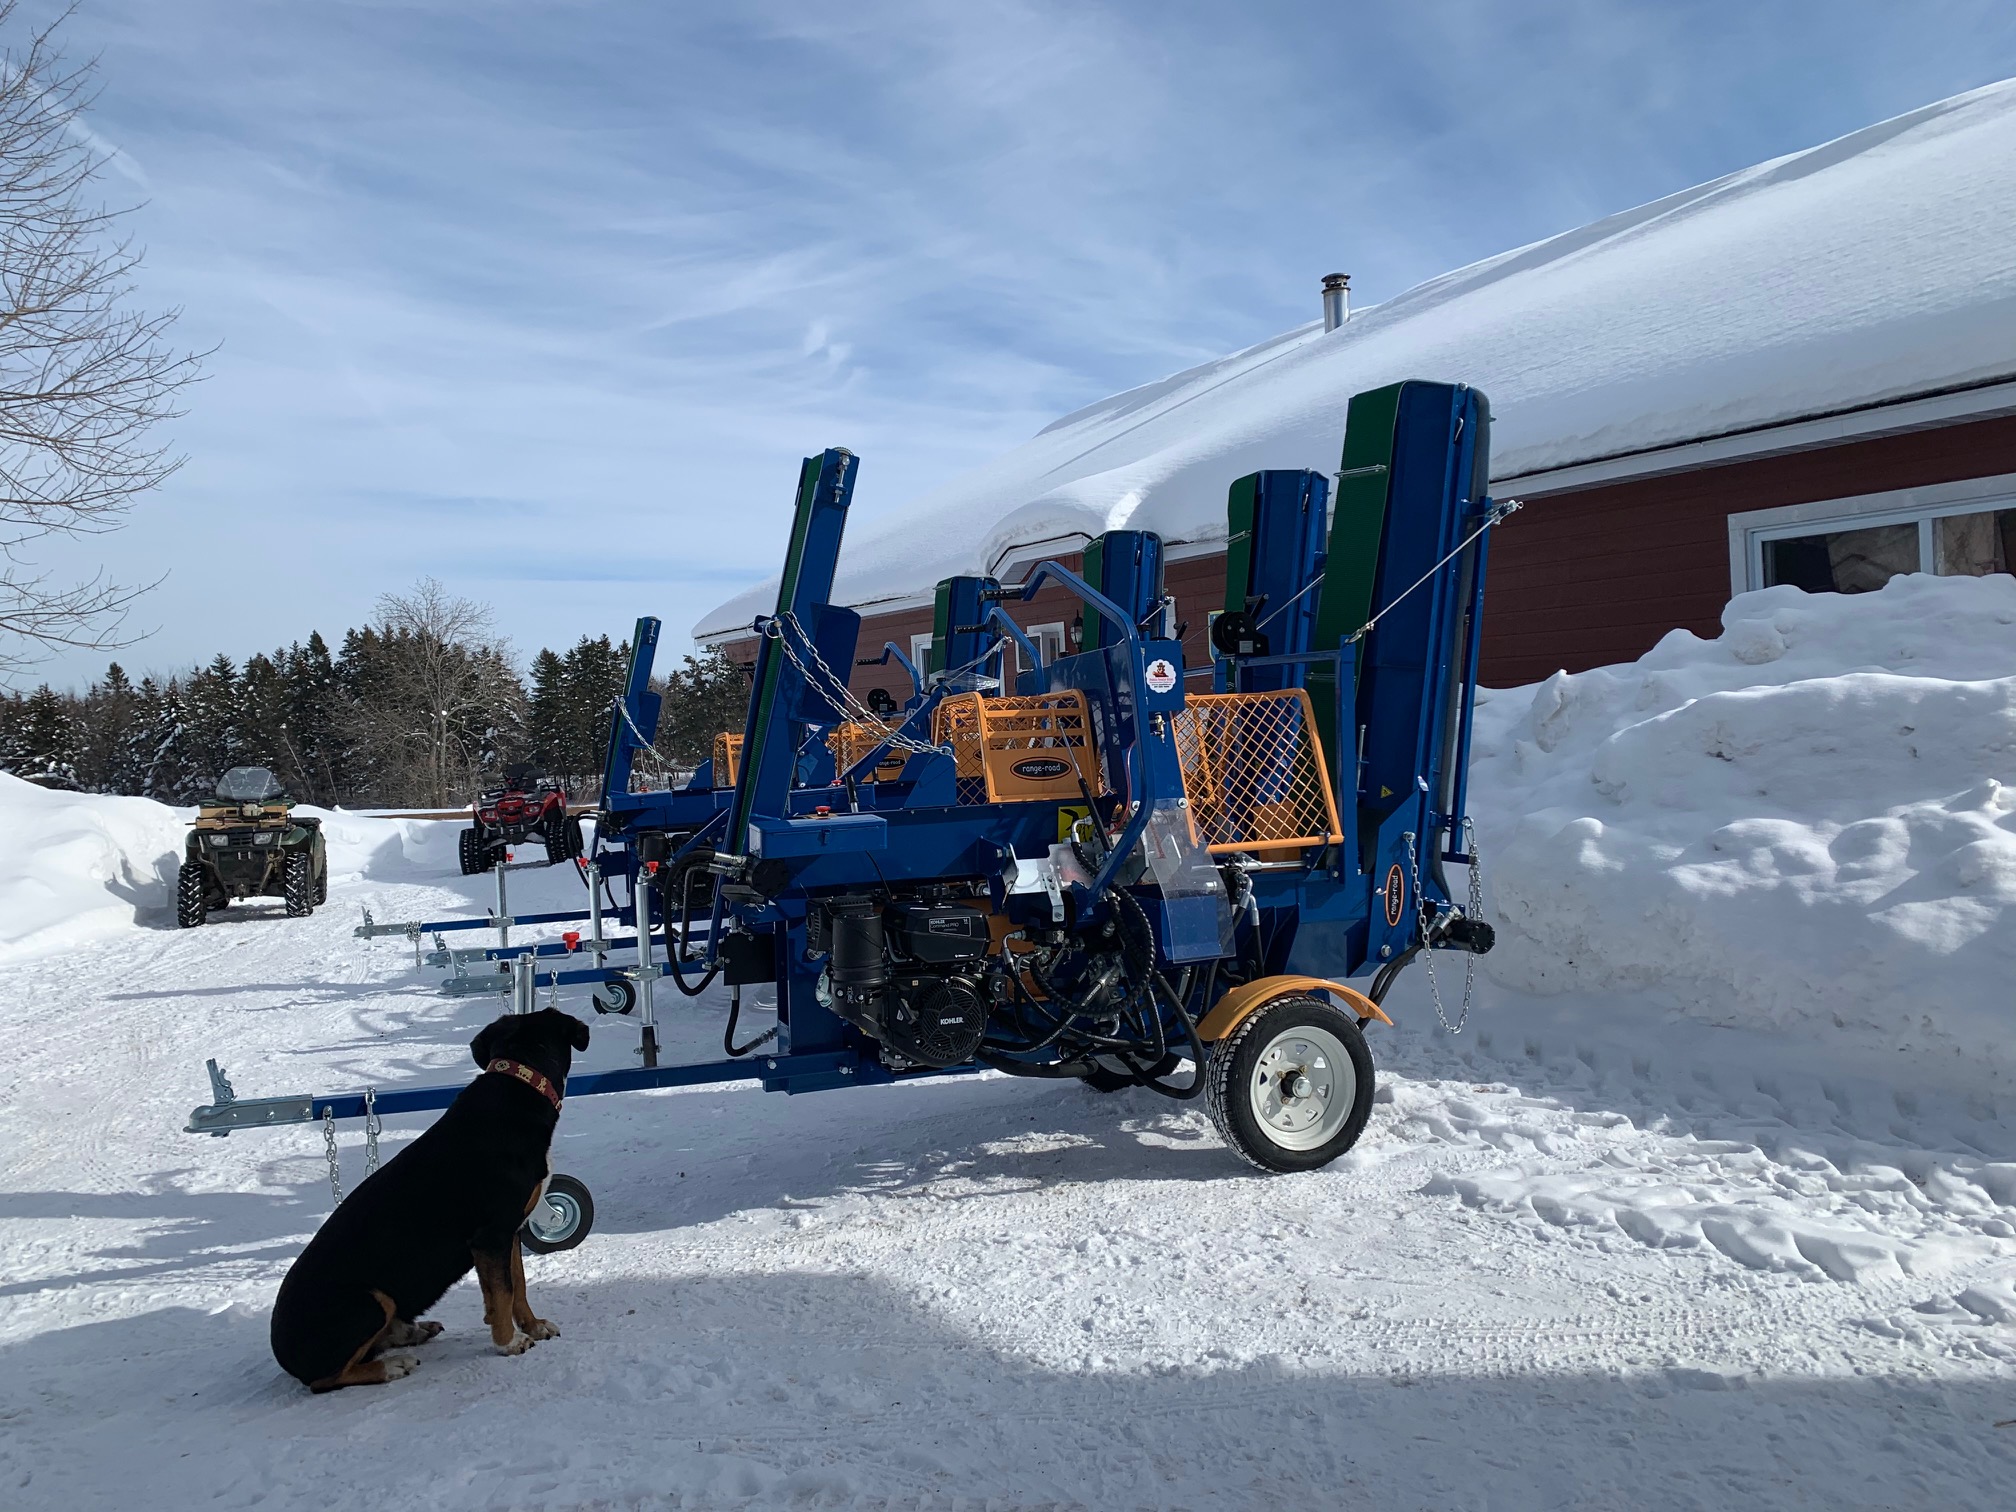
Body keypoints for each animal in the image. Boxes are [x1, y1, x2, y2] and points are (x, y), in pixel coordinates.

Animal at [268, 1012, 588, 1395]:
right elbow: (502, 1292)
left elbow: (517, 1287)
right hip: (370, 1301)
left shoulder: (509, 1231)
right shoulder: (490, 1236)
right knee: (324, 1379)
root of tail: (282, 1353)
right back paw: (392, 1365)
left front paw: (534, 1326)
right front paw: (508, 1343)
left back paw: (411, 1332)